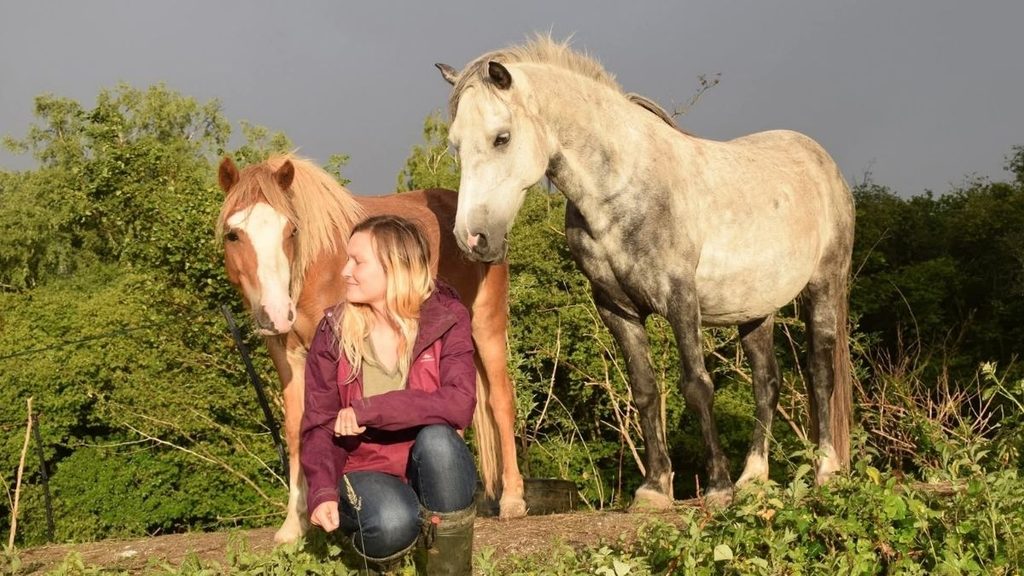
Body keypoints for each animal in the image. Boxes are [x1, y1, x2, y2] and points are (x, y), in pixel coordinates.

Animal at [216, 154, 526, 543]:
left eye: (291, 231)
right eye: (233, 234)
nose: (275, 313)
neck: (316, 267)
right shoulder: (288, 358)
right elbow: (297, 429)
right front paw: (294, 525)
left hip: (486, 325)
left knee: (500, 400)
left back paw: (512, 499)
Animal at [436, 36, 855, 508]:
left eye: (501, 138)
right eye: (456, 144)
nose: (472, 238)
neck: (621, 188)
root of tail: (823, 163)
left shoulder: (680, 300)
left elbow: (696, 386)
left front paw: (717, 487)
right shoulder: (617, 309)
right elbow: (645, 390)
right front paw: (655, 488)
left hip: (824, 286)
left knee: (819, 374)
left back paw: (825, 471)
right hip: (754, 311)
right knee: (766, 383)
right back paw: (753, 478)